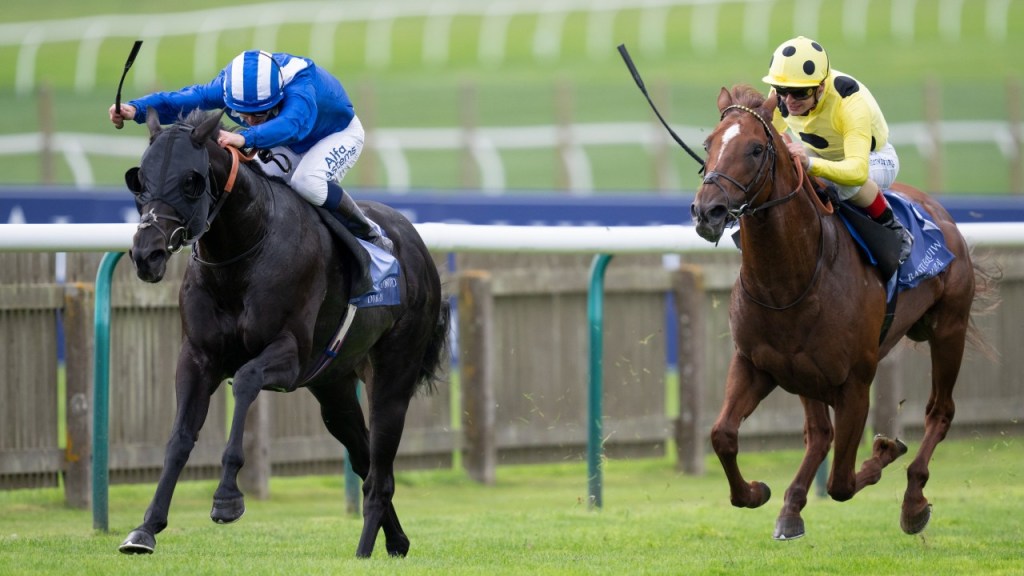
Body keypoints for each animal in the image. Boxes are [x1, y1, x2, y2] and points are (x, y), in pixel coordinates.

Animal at [118, 109, 451, 558]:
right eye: (141, 180)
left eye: (190, 180)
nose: (146, 254)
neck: (243, 252)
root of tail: (416, 245)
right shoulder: (197, 357)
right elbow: (179, 438)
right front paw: (145, 528)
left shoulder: (289, 356)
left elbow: (244, 381)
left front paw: (227, 498)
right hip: (333, 386)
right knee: (365, 458)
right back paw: (396, 541)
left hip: (393, 376)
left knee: (380, 473)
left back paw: (363, 551)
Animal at [690, 85, 996, 540]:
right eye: (709, 145)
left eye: (757, 148)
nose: (706, 211)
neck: (790, 280)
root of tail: (940, 214)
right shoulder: (754, 364)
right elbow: (722, 434)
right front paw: (756, 492)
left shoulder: (855, 382)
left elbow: (842, 483)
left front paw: (884, 449)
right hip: (804, 373)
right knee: (819, 434)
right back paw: (791, 508)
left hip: (948, 329)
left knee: (940, 412)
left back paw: (913, 500)